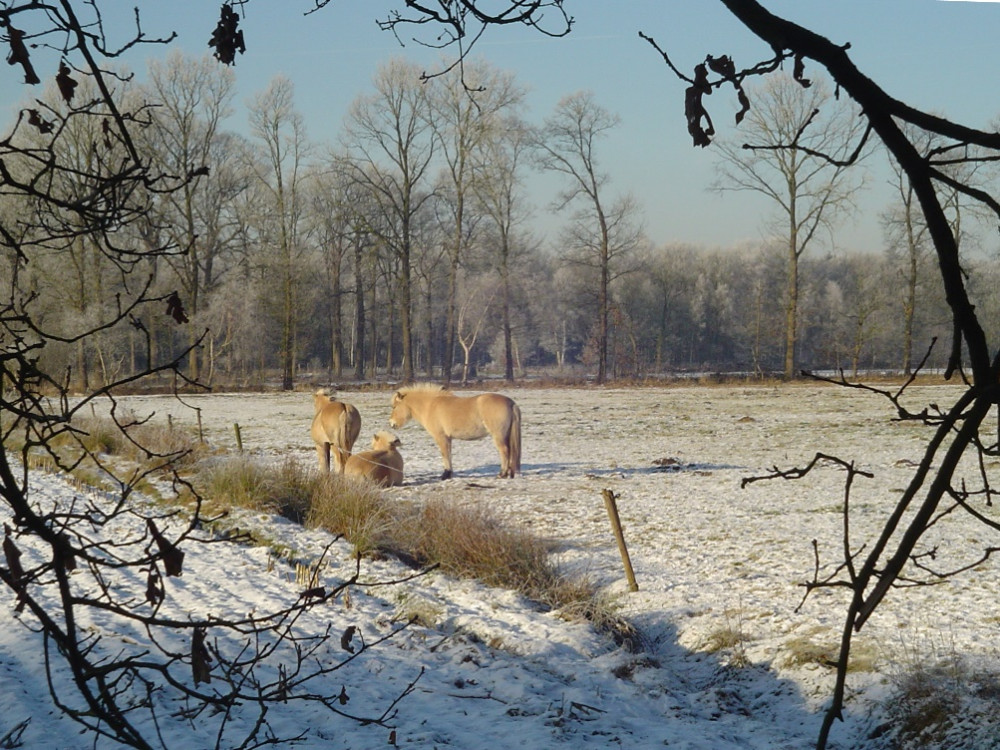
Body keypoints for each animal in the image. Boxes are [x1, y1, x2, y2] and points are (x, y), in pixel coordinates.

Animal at [386, 388, 520, 482]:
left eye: (394, 407)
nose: (391, 423)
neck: (430, 406)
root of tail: (510, 402)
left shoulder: (441, 438)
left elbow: (445, 455)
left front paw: (445, 475)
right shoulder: (448, 439)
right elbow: (449, 455)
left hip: (498, 436)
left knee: (504, 451)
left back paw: (501, 474)